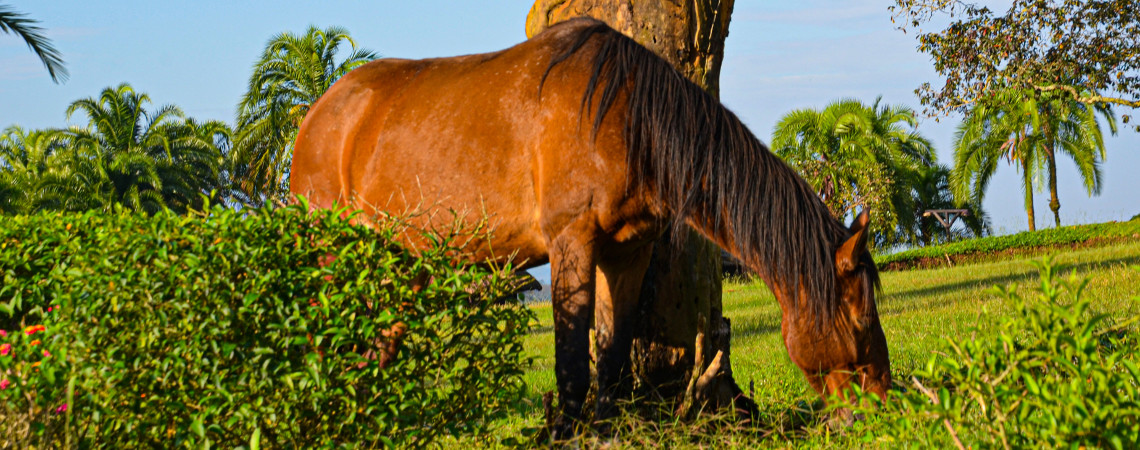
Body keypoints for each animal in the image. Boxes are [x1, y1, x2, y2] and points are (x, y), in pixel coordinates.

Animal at [291, 17, 889, 437]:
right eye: (861, 318)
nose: (882, 405)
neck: (626, 115)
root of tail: (318, 113)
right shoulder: (570, 243)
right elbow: (574, 361)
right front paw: (566, 431)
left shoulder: (627, 253)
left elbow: (614, 354)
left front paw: (604, 429)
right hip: (331, 257)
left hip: (401, 263)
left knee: (374, 348)